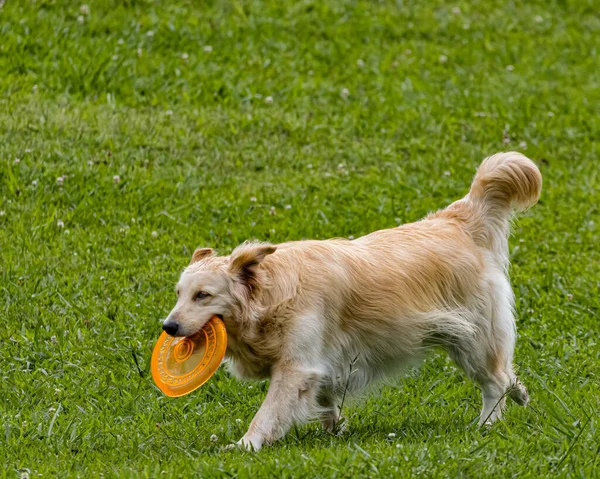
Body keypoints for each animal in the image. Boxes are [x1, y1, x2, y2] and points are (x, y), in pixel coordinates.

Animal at [163, 152, 540, 452]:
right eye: (179, 294)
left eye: (203, 295)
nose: (168, 327)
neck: (272, 295)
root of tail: (457, 220)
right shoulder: (324, 363)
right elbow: (327, 401)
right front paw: (334, 431)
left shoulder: (296, 367)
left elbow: (268, 412)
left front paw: (245, 445)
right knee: (506, 374)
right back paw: (520, 394)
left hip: (472, 340)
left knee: (494, 381)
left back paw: (486, 425)